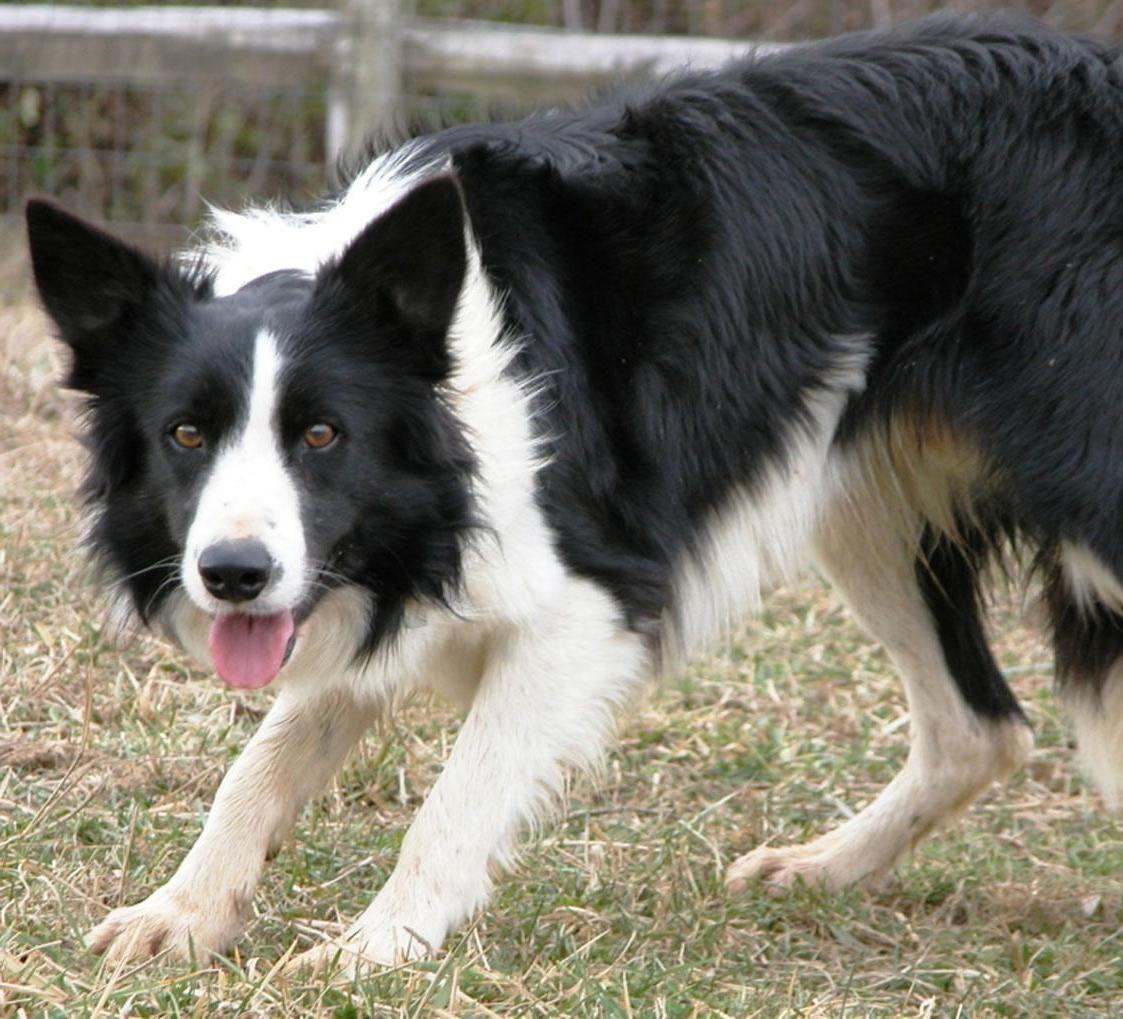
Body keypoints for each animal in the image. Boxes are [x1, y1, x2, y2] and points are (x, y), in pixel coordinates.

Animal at [21, 11, 1123, 970]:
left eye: (323, 434)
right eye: (186, 434)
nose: (233, 575)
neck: (450, 391)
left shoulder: (585, 606)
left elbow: (454, 800)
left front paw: (376, 948)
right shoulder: (371, 572)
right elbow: (265, 759)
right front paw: (182, 911)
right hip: (859, 502)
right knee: (976, 727)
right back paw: (821, 868)